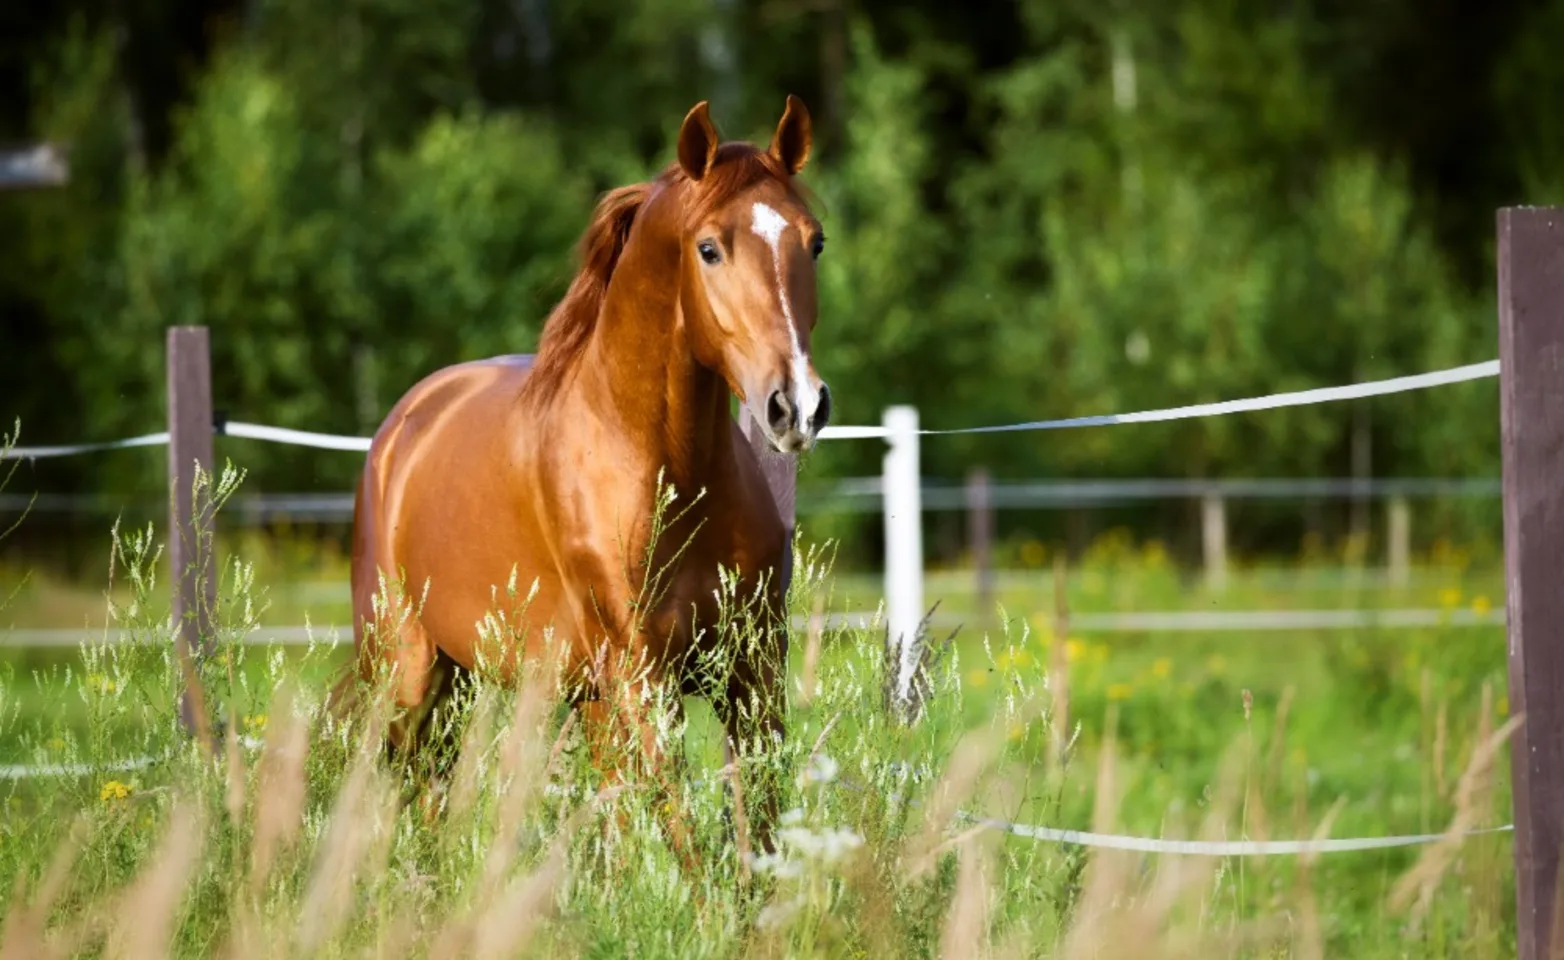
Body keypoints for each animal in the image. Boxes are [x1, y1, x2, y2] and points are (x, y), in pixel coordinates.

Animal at [344, 95, 831, 858]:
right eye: (710, 248)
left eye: (814, 243)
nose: (797, 406)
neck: (666, 474)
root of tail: (403, 425)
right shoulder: (641, 678)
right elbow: (684, 834)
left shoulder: (751, 673)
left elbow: (757, 825)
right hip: (408, 672)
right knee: (407, 786)